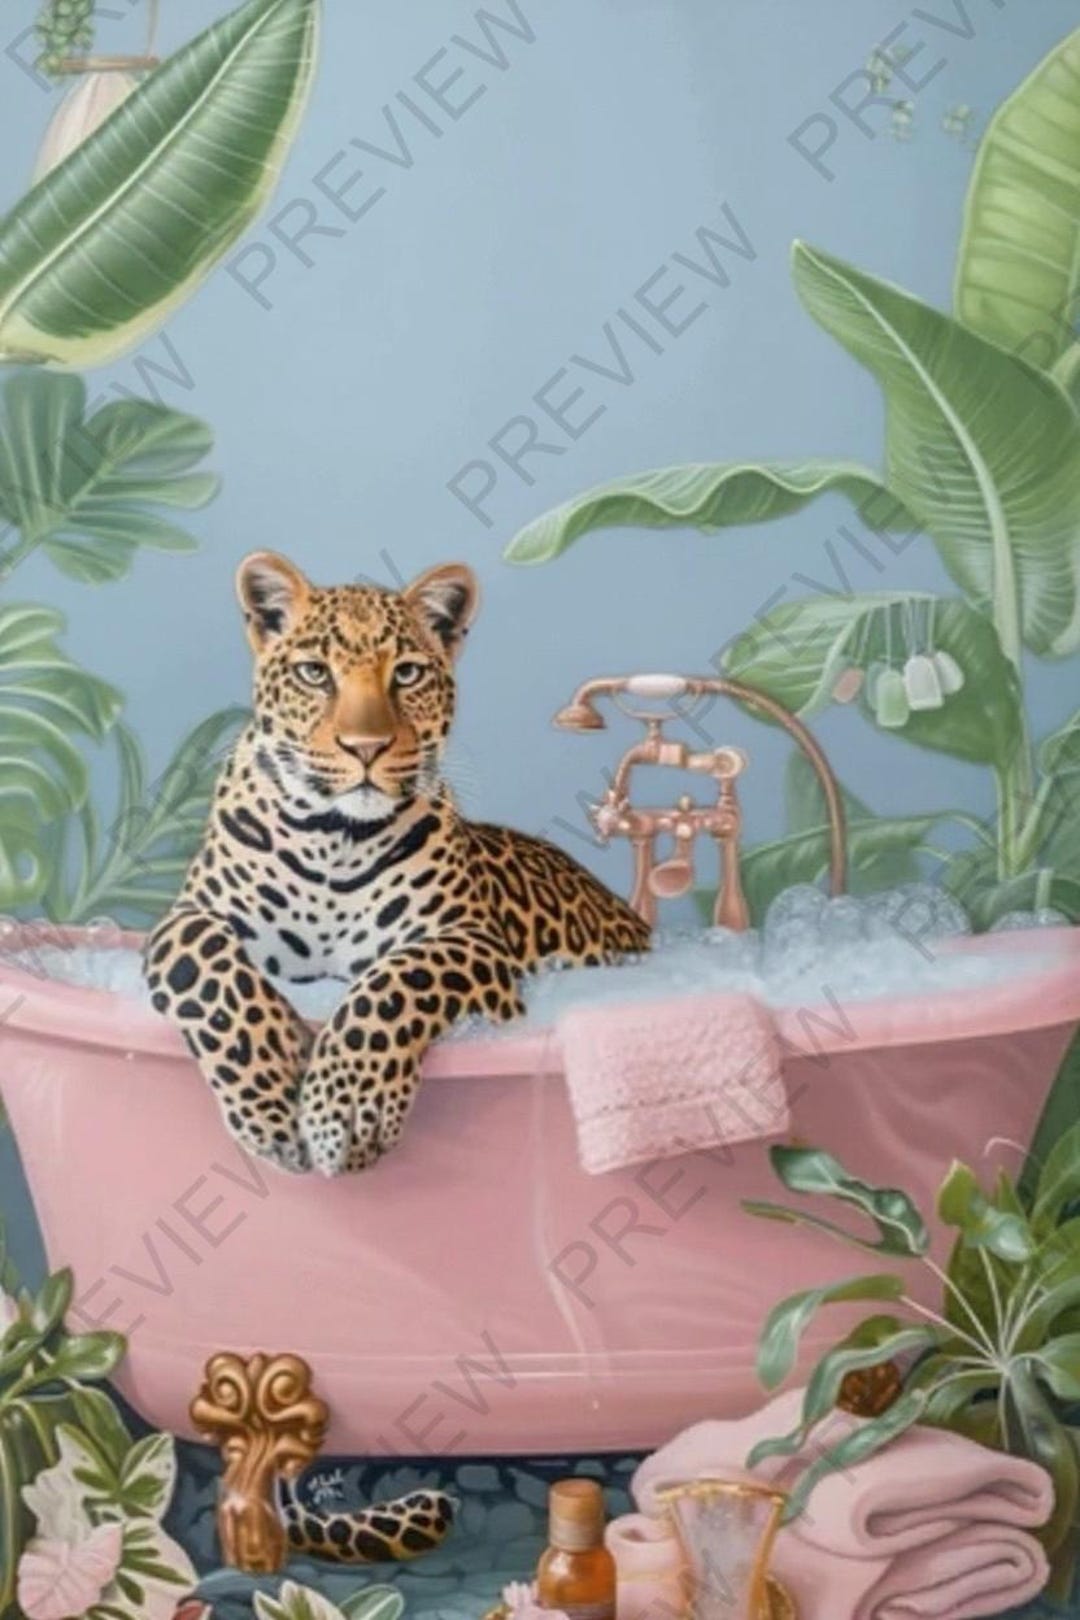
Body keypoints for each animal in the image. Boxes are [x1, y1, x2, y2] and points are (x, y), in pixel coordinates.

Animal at [144, 550, 649, 1182]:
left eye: (406, 674)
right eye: (315, 673)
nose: (366, 747)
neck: (332, 839)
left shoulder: (470, 939)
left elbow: (395, 983)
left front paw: (345, 1111)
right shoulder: (189, 915)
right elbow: (204, 965)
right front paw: (272, 1097)